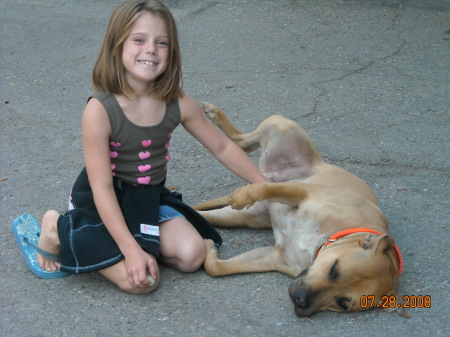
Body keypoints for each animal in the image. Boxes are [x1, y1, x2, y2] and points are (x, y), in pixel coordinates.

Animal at [194, 102, 408, 316]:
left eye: (342, 302)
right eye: (334, 270)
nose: (301, 300)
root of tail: (267, 173)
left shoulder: (272, 257)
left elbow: (216, 268)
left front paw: (209, 251)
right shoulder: (302, 192)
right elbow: (262, 189)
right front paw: (242, 196)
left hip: (243, 217)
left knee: (204, 213)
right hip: (283, 126)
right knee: (243, 143)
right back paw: (215, 115)